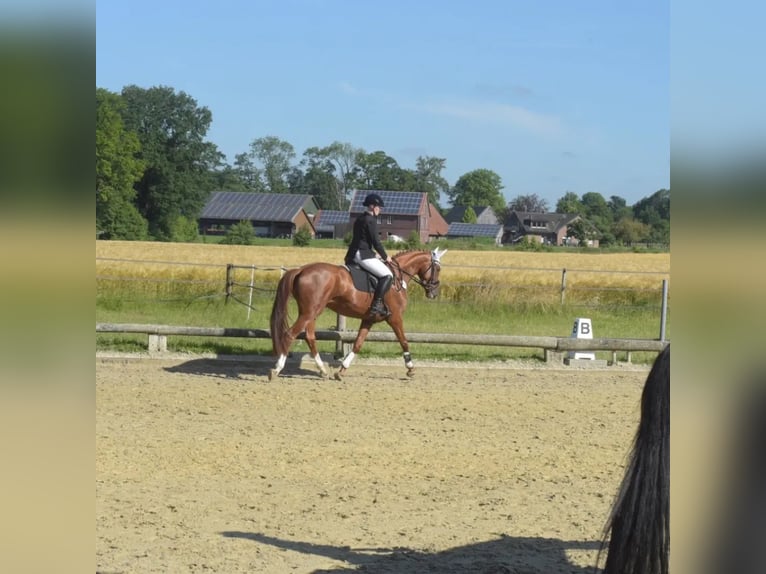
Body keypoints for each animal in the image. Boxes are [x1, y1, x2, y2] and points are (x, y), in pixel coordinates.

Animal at [270, 249, 450, 380]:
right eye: (438, 268)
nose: (434, 293)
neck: (398, 277)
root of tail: (301, 270)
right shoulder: (395, 318)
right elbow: (404, 341)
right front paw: (410, 368)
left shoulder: (368, 319)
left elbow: (358, 344)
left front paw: (341, 371)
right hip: (309, 312)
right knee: (290, 334)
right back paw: (276, 369)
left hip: (310, 311)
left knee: (310, 337)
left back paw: (323, 370)